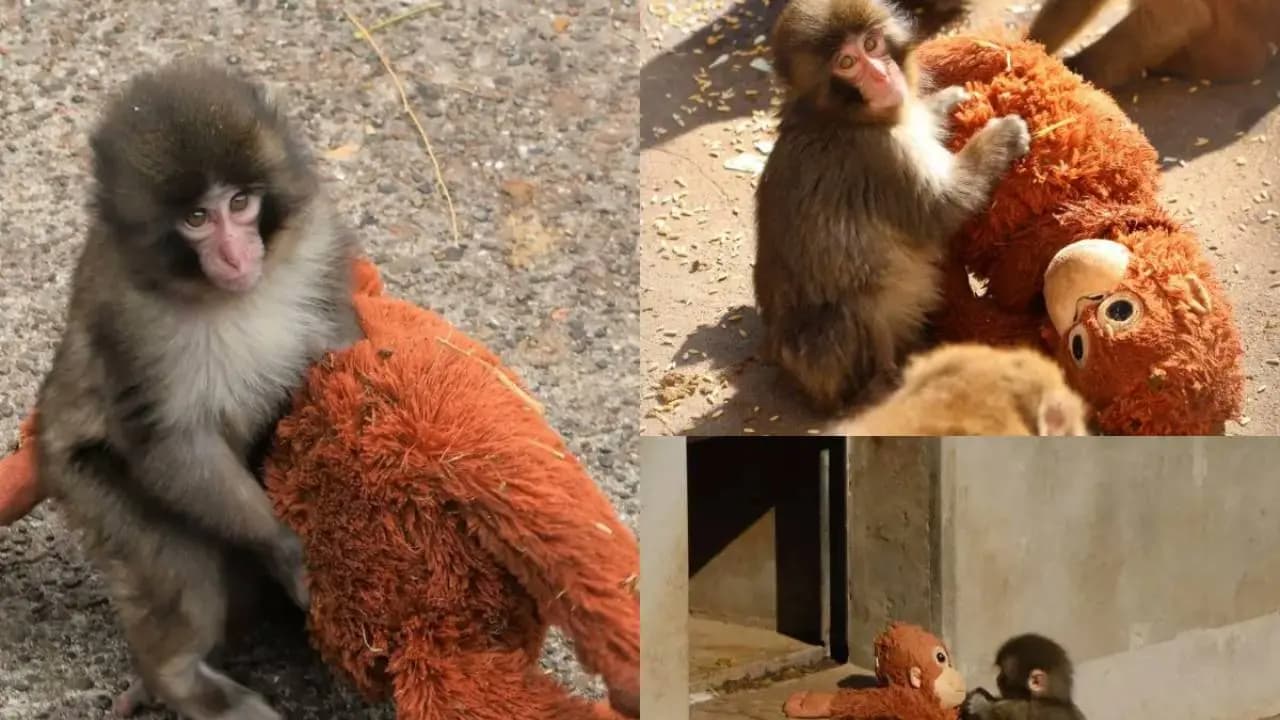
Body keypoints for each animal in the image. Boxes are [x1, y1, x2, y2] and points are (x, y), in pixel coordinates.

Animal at [34, 59, 364, 720]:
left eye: (239, 203)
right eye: (196, 219)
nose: (237, 255)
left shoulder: (315, 242)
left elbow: (338, 345)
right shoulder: (129, 321)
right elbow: (170, 444)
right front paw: (286, 546)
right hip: (87, 484)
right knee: (181, 566)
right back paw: (177, 679)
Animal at [754, 0, 1031, 415]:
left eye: (872, 44)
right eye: (847, 62)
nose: (882, 75)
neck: (840, 117)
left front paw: (946, 102)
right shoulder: (880, 156)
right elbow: (942, 208)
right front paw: (1003, 136)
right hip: (824, 361)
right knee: (842, 315)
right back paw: (879, 386)